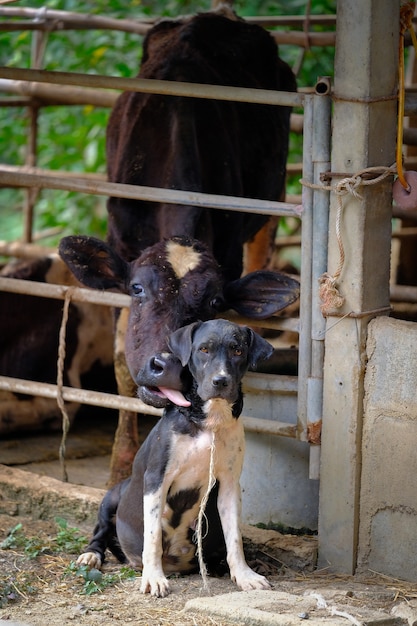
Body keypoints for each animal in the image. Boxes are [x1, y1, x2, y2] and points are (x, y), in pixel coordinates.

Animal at [77, 320, 274, 596]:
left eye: (238, 351)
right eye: (203, 349)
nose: (221, 381)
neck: (208, 421)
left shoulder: (229, 485)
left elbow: (234, 538)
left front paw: (245, 575)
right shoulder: (156, 479)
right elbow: (152, 537)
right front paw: (153, 578)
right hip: (113, 496)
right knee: (101, 531)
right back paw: (91, 555)